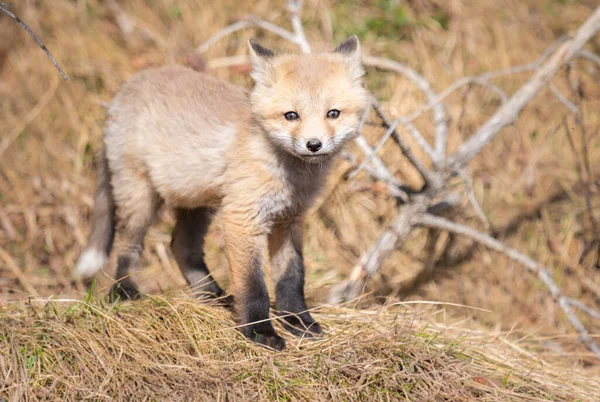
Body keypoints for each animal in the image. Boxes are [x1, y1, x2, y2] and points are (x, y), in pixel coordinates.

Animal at [75, 35, 370, 348]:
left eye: (333, 113)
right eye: (291, 115)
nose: (314, 145)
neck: (290, 176)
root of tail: (123, 91)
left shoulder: (288, 220)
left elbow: (292, 277)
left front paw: (298, 321)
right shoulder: (242, 218)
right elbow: (254, 286)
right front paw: (260, 331)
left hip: (197, 203)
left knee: (181, 246)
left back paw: (211, 295)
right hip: (139, 196)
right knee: (128, 245)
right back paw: (124, 291)